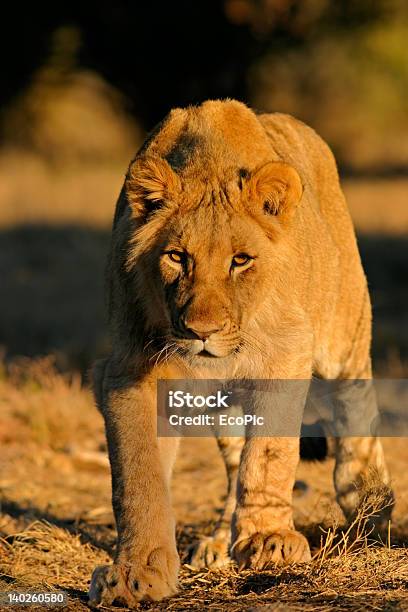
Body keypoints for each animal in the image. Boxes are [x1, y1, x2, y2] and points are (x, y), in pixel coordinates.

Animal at [87, 100, 390, 608]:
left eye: (241, 260)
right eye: (177, 257)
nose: (201, 332)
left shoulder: (288, 352)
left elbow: (268, 456)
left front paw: (269, 541)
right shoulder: (129, 371)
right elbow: (137, 475)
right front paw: (136, 572)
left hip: (344, 328)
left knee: (356, 403)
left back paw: (371, 500)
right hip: (222, 399)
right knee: (232, 457)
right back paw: (217, 543)